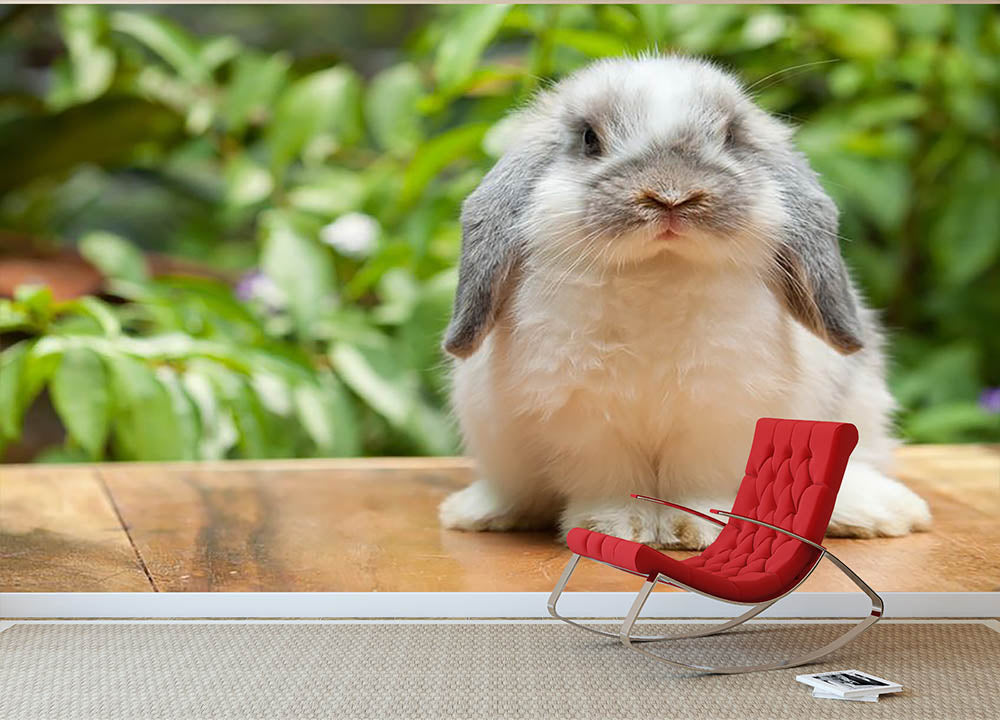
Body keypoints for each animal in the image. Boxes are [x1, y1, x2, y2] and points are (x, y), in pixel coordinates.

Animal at [438, 54, 931, 550]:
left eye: (731, 136)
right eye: (589, 139)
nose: (671, 195)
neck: (658, 271)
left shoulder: (718, 412)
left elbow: (698, 480)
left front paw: (700, 530)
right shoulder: (586, 419)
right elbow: (611, 481)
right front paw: (614, 529)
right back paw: (479, 511)